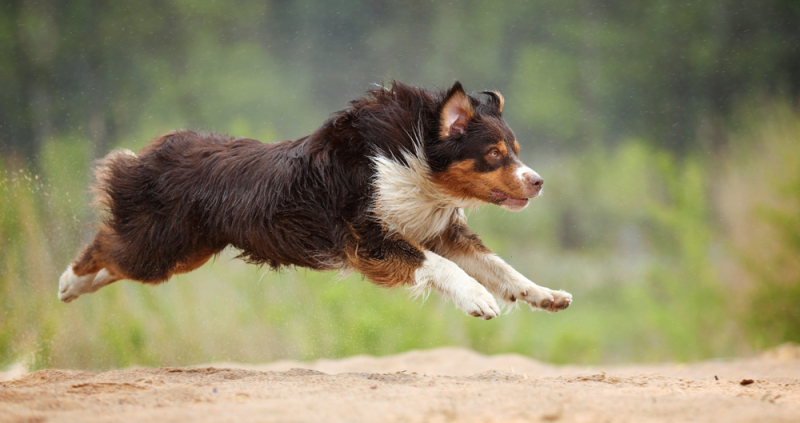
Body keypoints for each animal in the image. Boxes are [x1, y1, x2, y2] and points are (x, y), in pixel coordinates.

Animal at [61, 82, 576, 322]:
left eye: (515, 150)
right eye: (494, 154)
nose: (538, 182)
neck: (413, 161)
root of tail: (159, 148)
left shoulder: (439, 229)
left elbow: (501, 268)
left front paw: (546, 295)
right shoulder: (369, 239)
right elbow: (443, 267)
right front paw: (478, 300)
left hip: (186, 251)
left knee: (115, 259)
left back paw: (75, 288)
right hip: (160, 244)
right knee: (106, 246)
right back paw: (67, 283)